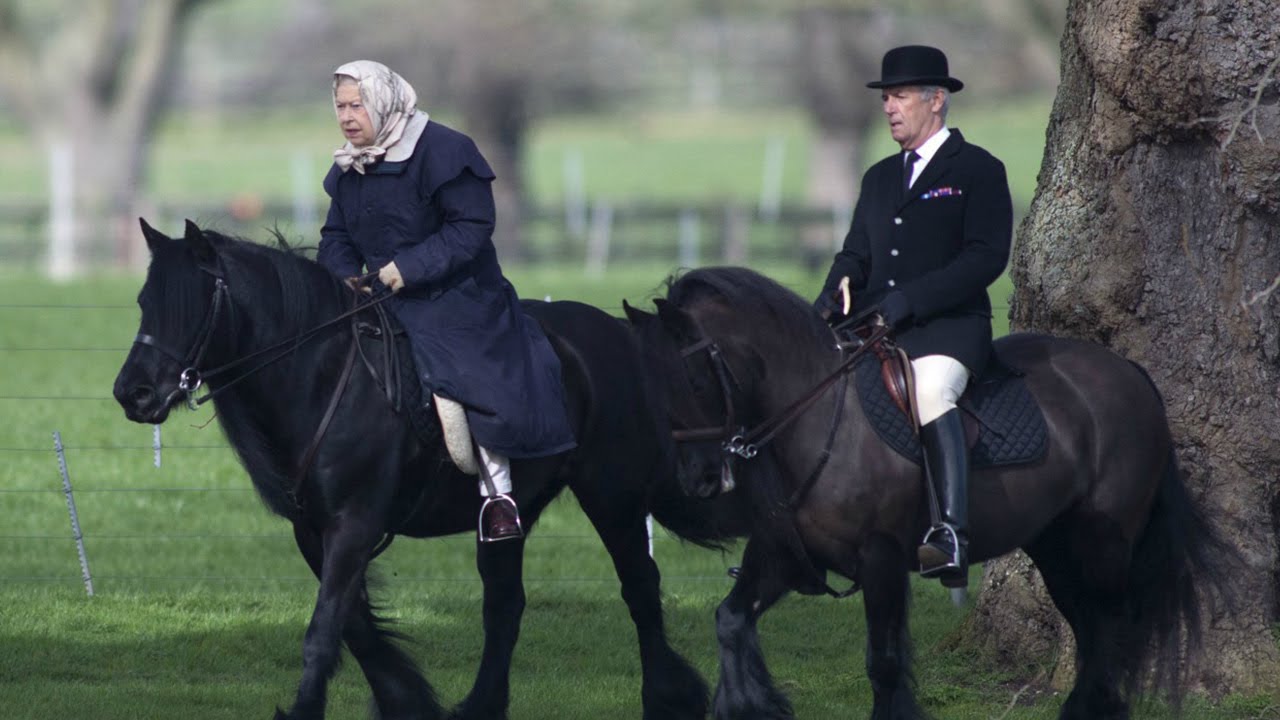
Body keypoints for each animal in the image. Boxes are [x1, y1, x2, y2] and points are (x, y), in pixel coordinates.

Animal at [116, 220, 747, 717]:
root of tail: (619, 336)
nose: (133, 393)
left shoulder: (355, 525)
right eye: (145, 303)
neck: (322, 375)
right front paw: (407, 702)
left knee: (639, 588)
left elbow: (324, 631)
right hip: (507, 516)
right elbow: (354, 627)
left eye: (190, 306)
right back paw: (481, 707)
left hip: (612, 497)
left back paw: (670, 700)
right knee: (505, 606)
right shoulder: (315, 531)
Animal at [627, 265, 1228, 717]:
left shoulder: (882, 558)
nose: (699, 479)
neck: (819, 417)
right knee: (1092, 632)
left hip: (1103, 544)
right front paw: (750, 704)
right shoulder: (780, 552)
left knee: (1112, 631)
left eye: (694, 379)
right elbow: (730, 621)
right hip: (1056, 548)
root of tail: (1128, 370)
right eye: (652, 381)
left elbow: (884, 663)